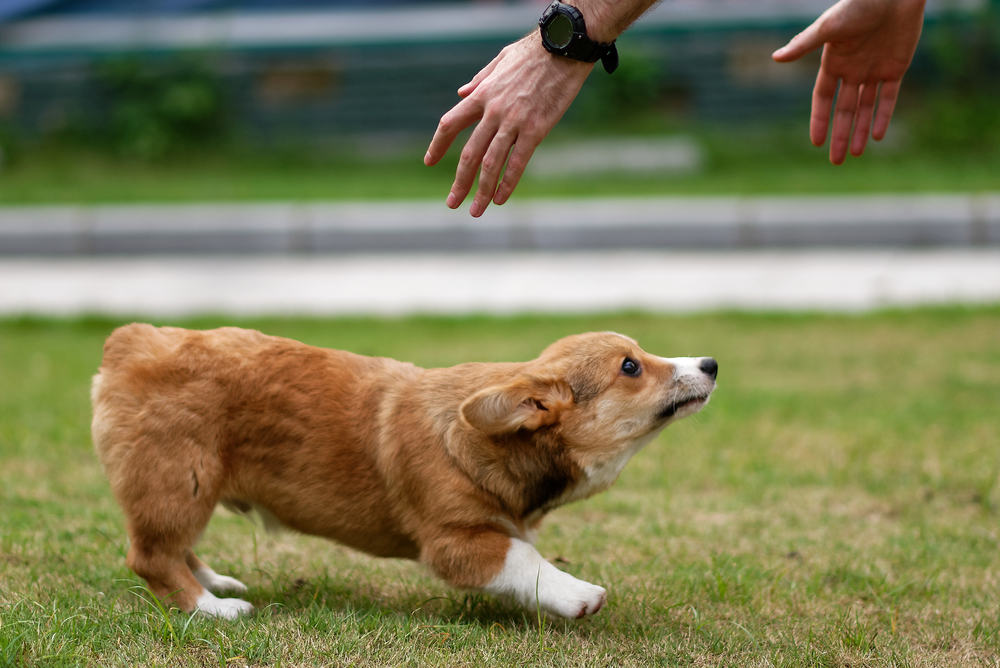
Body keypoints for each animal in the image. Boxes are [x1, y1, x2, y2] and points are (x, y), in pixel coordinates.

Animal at [92, 326, 720, 620]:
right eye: (631, 367)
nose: (710, 364)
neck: (496, 440)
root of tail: (130, 342)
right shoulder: (454, 540)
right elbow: (523, 558)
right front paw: (577, 594)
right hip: (180, 479)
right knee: (150, 555)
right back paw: (213, 608)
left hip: (182, 489)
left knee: (173, 548)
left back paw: (215, 582)